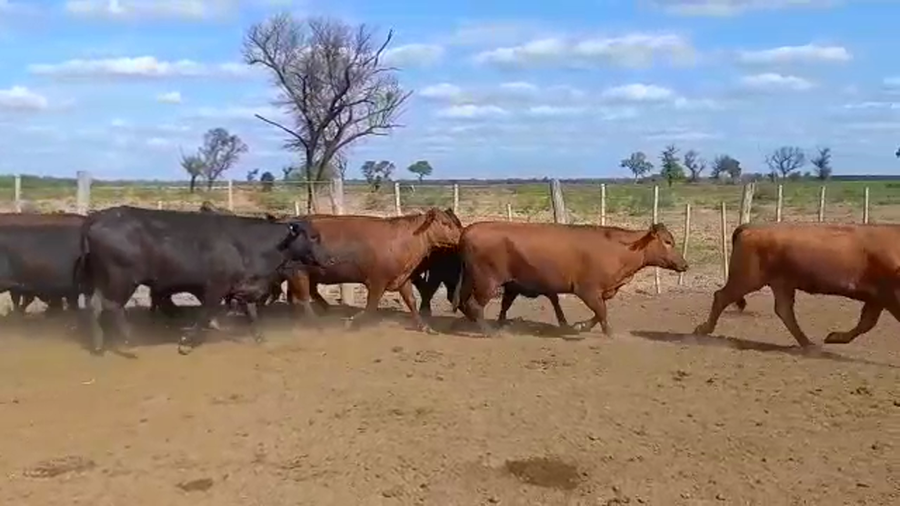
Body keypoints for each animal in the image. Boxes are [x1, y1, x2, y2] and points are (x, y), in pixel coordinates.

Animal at [80, 206, 326, 355]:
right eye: (313, 237)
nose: (327, 258)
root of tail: (97, 217)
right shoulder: (216, 288)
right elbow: (206, 313)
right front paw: (187, 342)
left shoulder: (242, 288)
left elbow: (251, 314)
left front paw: (260, 338)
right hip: (122, 279)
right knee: (112, 305)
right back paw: (128, 340)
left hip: (104, 280)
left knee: (95, 305)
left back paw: (99, 344)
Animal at [281, 208, 463, 333]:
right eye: (445, 223)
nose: (461, 235)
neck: (402, 241)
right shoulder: (377, 281)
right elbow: (371, 305)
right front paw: (353, 322)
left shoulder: (403, 279)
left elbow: (411, 301)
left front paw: (424, 326)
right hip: (299, 273)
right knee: (303, 299)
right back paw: (315, 322)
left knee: (302, 296)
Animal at [451, 221, 689, 336]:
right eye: (667, 242)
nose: (685, 265)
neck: (618, 249)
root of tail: (468, 230)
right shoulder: (587, 290)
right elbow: (602, 312)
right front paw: (609, 333)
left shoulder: (600, 292)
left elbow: (598, 313)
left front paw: (580, 326)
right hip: (487, 282)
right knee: (474, 305)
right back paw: (491, 333)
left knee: (467, 304)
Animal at [693, 222, 900, 347]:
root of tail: (752, 227)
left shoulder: (877, 298)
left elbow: (866, 323)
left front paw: (834, 337)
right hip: (748, 279)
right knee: (721, 296)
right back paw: (702, 330)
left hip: (781, 284)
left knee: (784, 310)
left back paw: (807, 343)